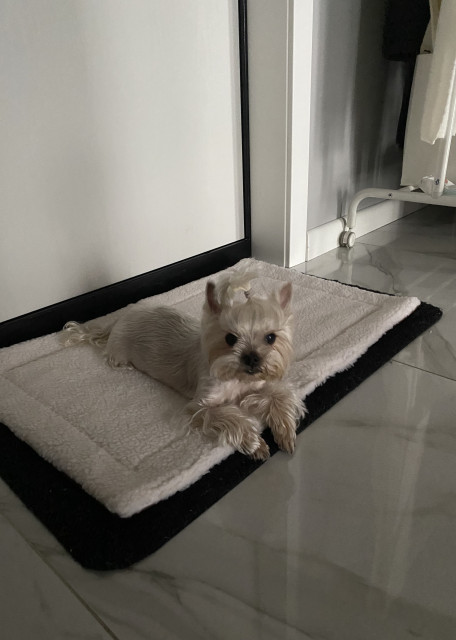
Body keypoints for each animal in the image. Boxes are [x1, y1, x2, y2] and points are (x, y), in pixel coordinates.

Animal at [62, 270, 305, 460]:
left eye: (271, 338)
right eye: (230, 338)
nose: (252, 358)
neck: (237, 378)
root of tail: (118, 319)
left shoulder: (259, 384)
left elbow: (280, 396)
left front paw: (286, 433)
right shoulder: (200, 407)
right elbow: (230, 417)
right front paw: (256, 445)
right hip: (119, 351)